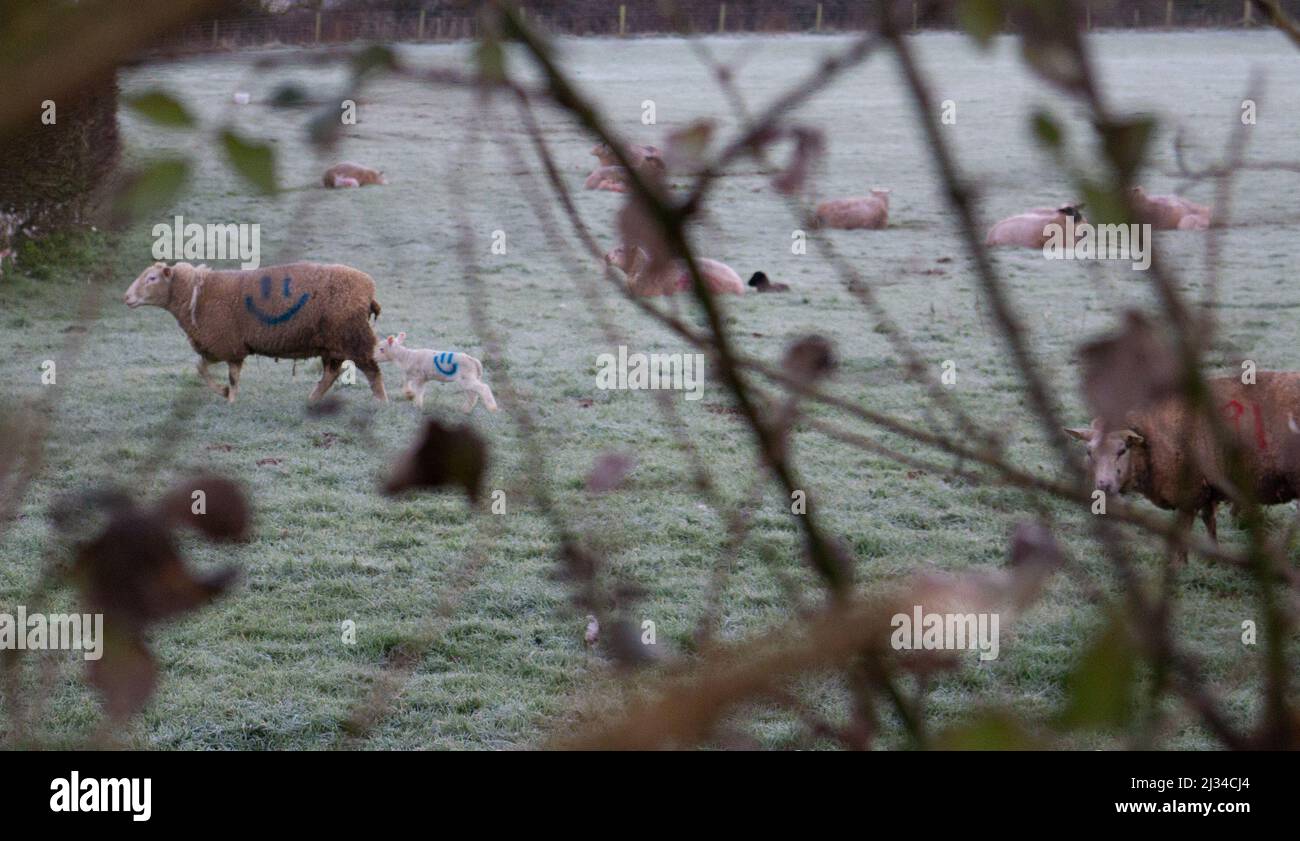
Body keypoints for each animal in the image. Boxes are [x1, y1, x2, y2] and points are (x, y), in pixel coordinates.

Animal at [123, 261, 387, 402]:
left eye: (152, 278)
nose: (126, 298)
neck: (195, 295)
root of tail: (368, 288)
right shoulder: (220, 346)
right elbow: (202, 368)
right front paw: (225, 393)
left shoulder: (226, 344)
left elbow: (228, 376)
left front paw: (228, 396)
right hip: (332, 342)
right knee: (331, 373)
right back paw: (312, 400)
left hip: (353, 336)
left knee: (372, 370)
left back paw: (380, 402)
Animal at [1060, 371, 1300, 561]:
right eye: (1089, 452)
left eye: (1122, 450)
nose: (1104, 486)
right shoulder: (1206, 489)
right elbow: (1209, 521)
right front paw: (1213, 558)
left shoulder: (1189, 491)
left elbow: (1183, 532)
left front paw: (1179, 565)